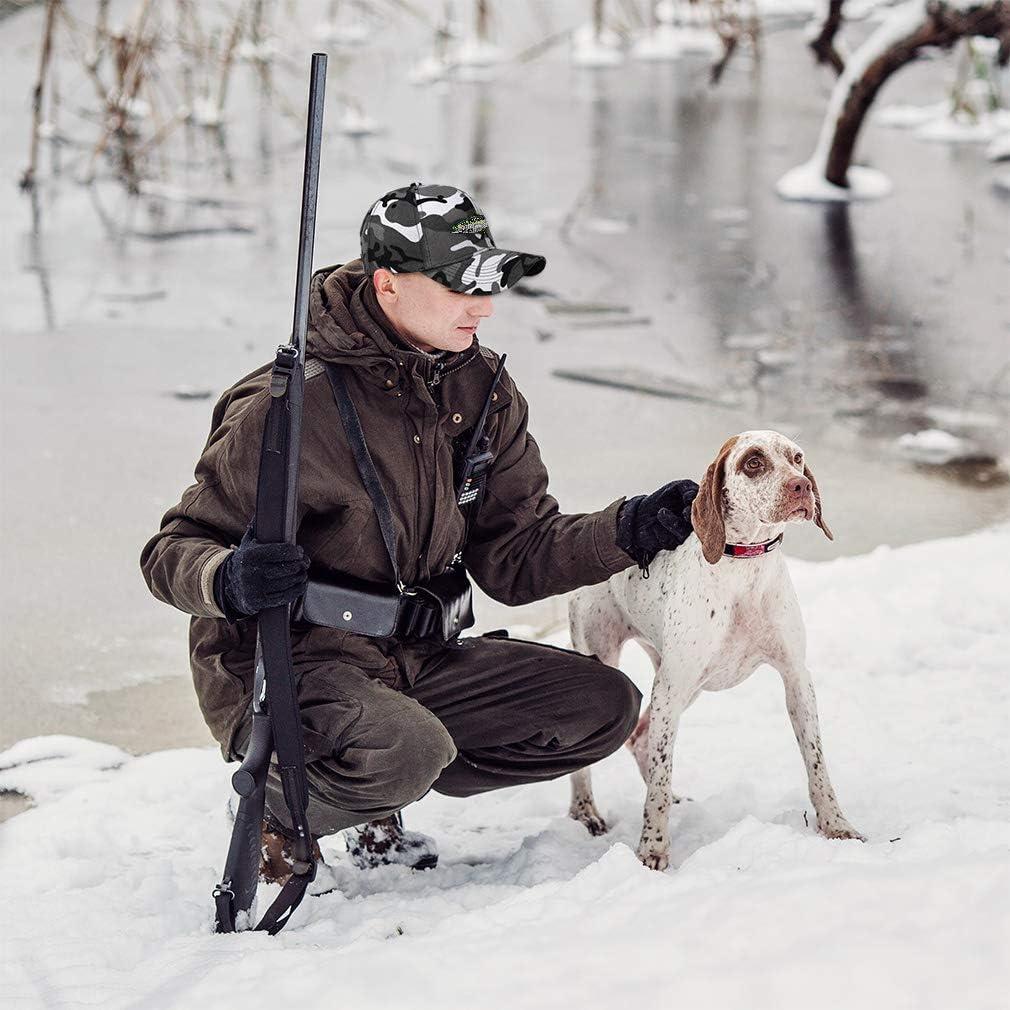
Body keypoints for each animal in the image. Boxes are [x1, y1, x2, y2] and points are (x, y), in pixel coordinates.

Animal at [568, 430, 865, 870]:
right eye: (754, 462)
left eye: (797, 458)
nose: (801, 486)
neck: (744, 568)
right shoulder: (672, 686)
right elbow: (659, 779)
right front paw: (652, 849)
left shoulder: (796, 679)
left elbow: (817, 764)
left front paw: (836, 825)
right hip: (621, 666)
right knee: (608, 761)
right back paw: (585, 811)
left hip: (684, 686)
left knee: (642, 739)